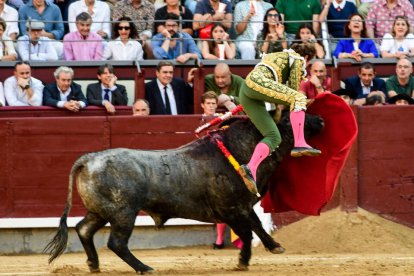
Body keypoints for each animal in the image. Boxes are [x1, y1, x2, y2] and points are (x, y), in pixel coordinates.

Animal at [44, 112, 324, 274]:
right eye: (288, 120)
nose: (321, 120)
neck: (240, 150)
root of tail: (89, 158)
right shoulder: (232, 209)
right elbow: (247, 232)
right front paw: (243, 261)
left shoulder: (244, 206)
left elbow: (257, 226)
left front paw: (274, 246)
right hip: (124, 213)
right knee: (116, 243)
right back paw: (145, 268)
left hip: (100, 211)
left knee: (83, 229)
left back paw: (94, 265)